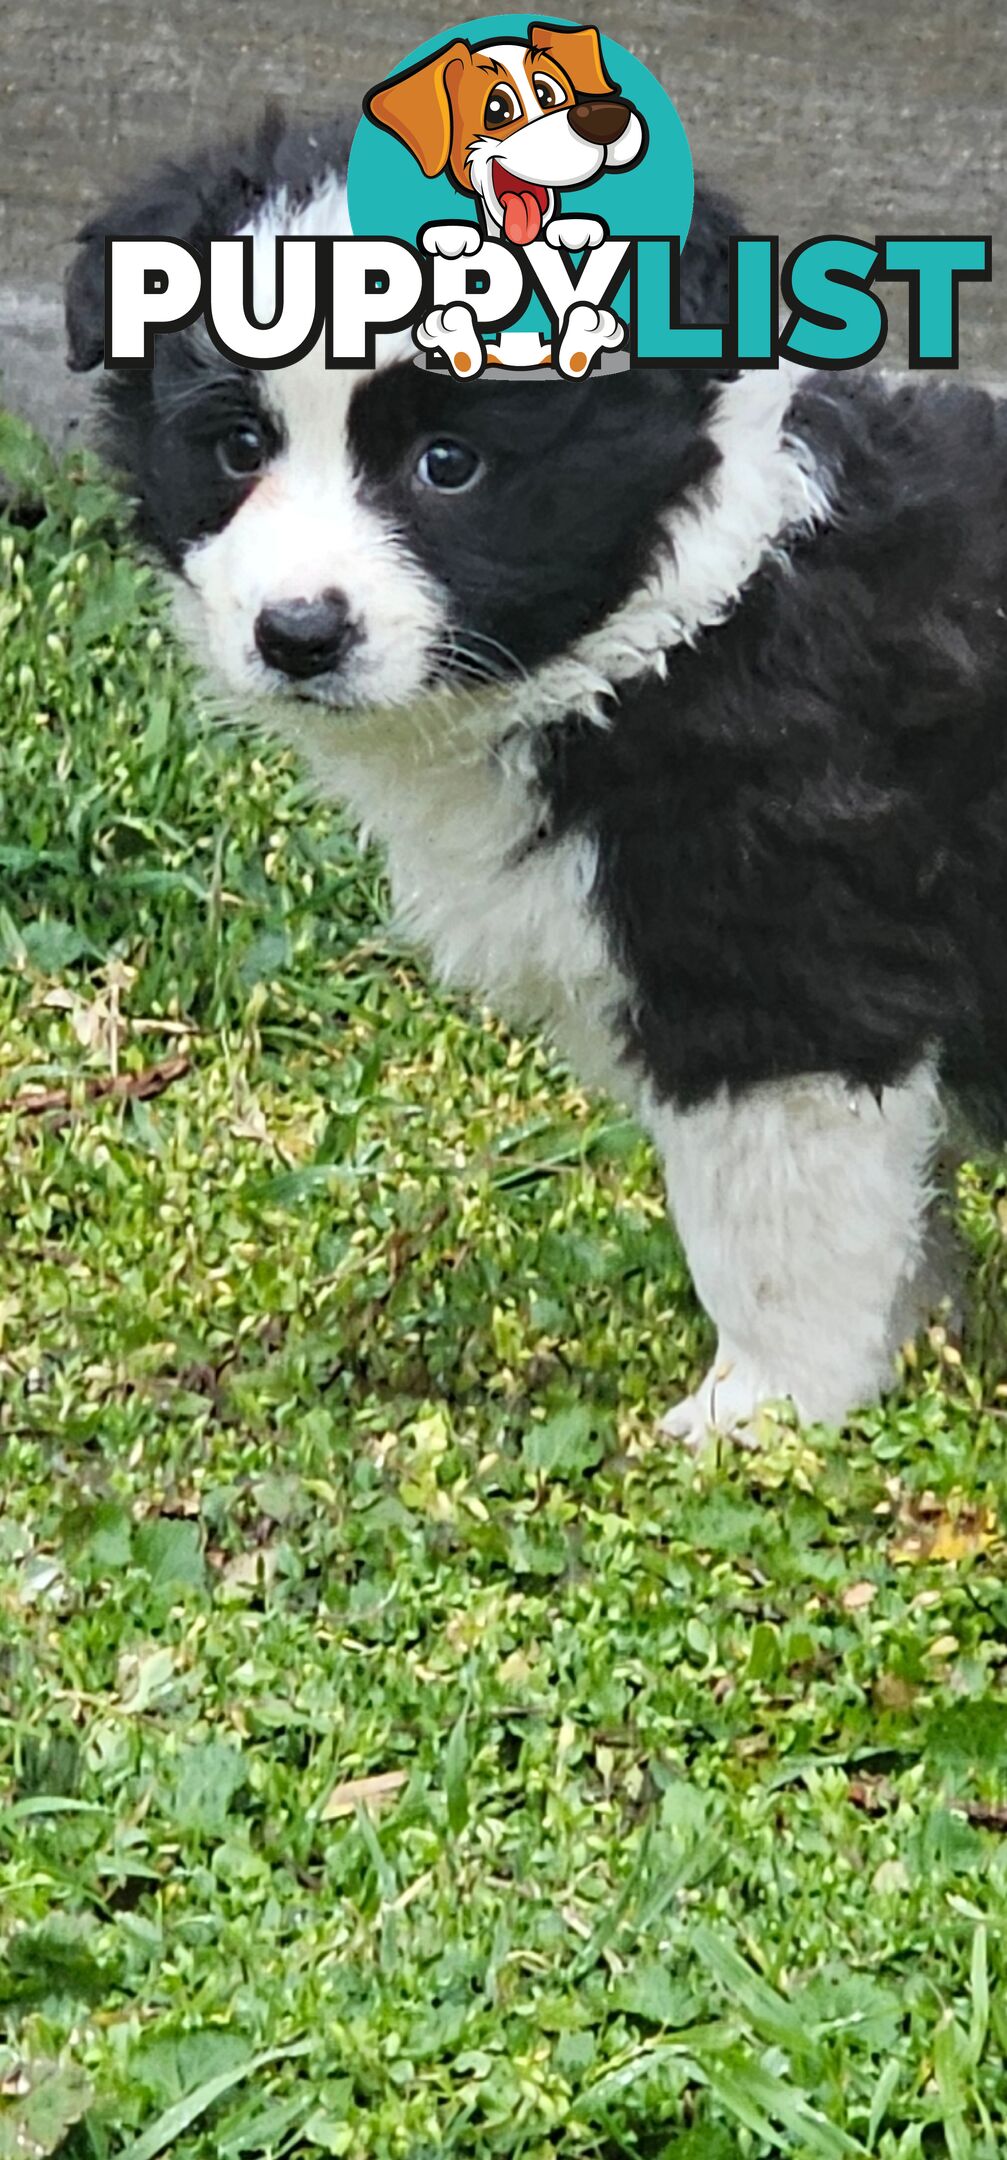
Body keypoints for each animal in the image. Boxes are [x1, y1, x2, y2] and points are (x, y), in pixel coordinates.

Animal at [66, 109, 1007, 1442]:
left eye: (448, 465)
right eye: (239, 447)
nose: (298, 635)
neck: (668, 627)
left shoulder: (783, 985)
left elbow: (782, 1240)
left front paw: (757, 1419)